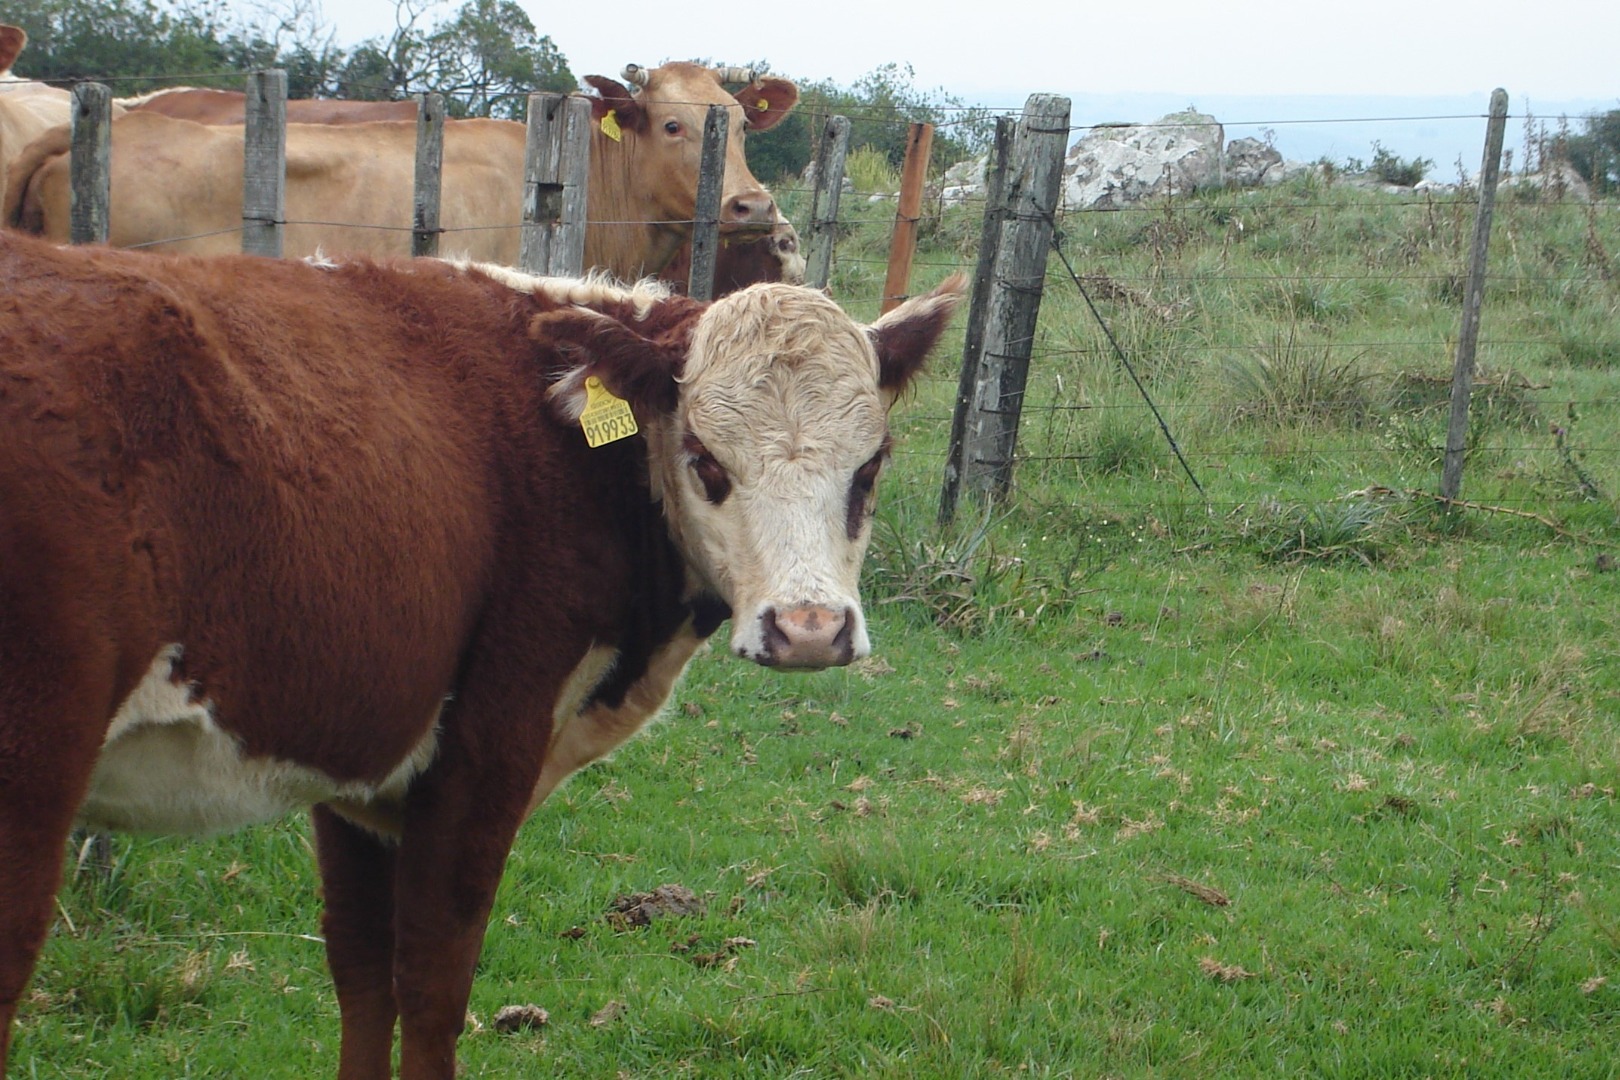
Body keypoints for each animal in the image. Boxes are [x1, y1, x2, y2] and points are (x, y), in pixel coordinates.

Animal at [0, 229, 959, 1080]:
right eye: (703, 459)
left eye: (871, 464)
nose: (810, 628)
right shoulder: (486, 750)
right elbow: (432, 987)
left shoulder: (361, 758)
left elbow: (362, 977)